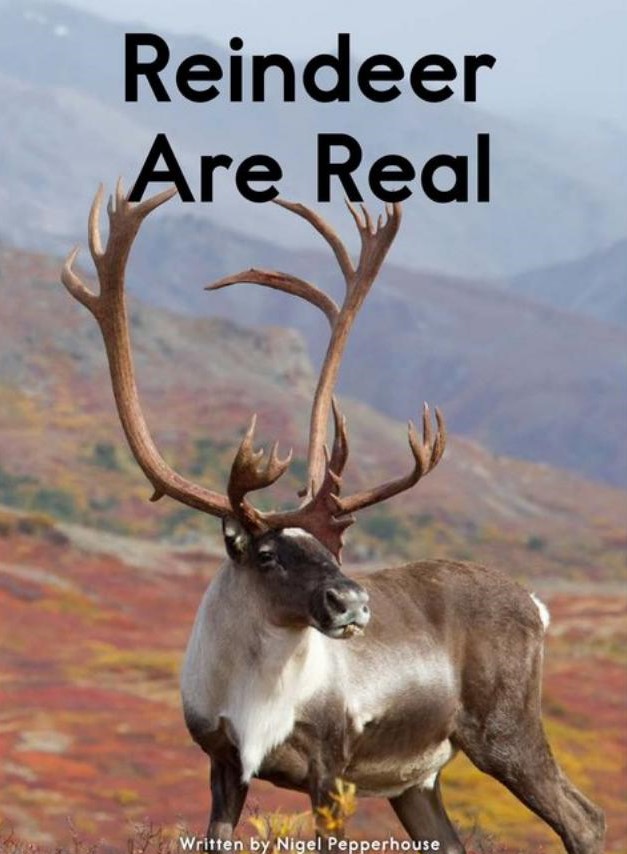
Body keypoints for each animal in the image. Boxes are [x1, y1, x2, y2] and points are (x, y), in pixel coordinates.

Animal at [61, 181, 605, 854]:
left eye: (334, 550)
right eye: (268, 554)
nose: (352, 603)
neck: (255, 692)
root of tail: (536, 604)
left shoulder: (332, 769)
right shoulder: (223, 764)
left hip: (504, 733)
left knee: (584, 816)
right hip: (416, 781)